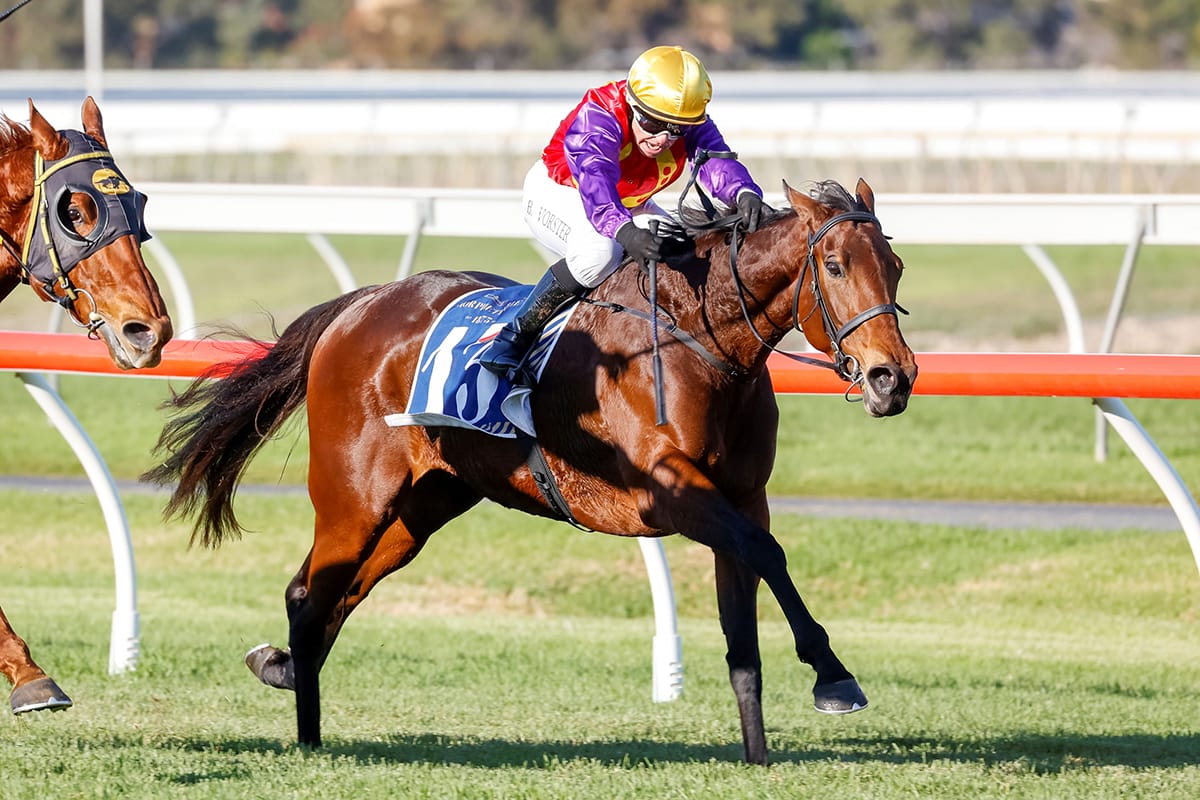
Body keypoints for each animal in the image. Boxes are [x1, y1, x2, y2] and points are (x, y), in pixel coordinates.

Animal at [146, 177, 916, 765]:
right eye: (836, 266)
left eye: (897, 266)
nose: (893, 377)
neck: (699, 340)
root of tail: (358, 304)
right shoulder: (669, 494)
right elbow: (768, 554)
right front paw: (834, 677)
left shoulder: (741, 497)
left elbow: (744, 630)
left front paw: (758, 755)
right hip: (355, 497)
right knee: (312, 597)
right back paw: (307, 737)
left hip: (424, 506)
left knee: (331, 593)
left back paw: (281, 669)